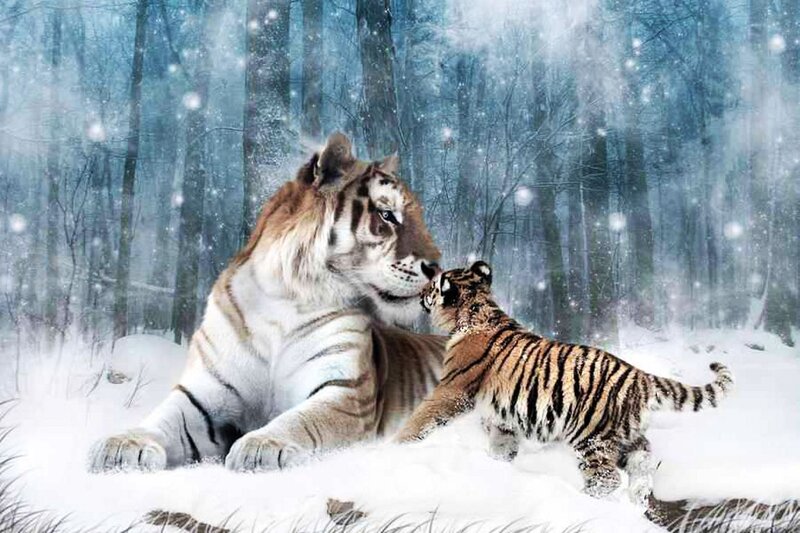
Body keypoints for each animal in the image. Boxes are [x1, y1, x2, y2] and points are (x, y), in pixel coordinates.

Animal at [88, 132, 445, 472]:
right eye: (387, 215)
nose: (437, 267)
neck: (285, 298)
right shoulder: (204, 393)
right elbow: (162, 418)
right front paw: (122, 445)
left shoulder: (344, 391)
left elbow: (301, 420)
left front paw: (261, 446)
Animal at [395, 261, 734, 504]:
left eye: (431, 287)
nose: (420, 294)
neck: (477, 310)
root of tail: (640, 376)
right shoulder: (503, 417)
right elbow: (502, 444)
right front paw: (498, 465)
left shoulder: (453, 390)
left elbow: (423, 417)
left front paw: (395, 446)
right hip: (628, 436)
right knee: (643, 463)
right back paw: (637, 498)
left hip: (591, 436)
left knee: (606, 477)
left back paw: (583, 498)